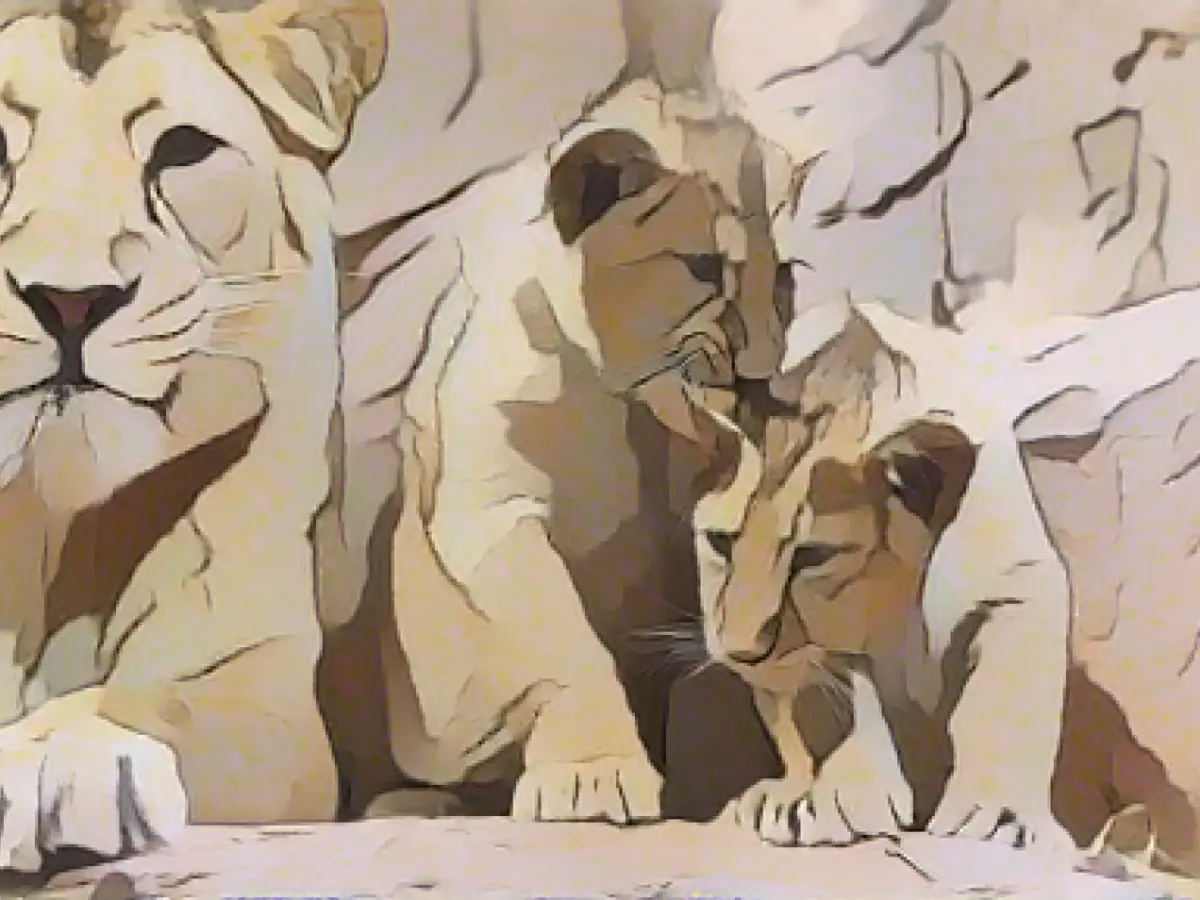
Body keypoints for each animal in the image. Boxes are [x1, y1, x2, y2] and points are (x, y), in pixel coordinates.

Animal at [318, 78, 792, 824]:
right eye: (704, 267)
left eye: (787, 280)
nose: (764, 375)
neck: (624, 404)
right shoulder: (488, 514)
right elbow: (565, 638)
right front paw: (592, 774)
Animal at [687, 300, 1076, 851]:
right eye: (721, 542)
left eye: (812, 555)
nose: (742, 652)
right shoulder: (828, 659)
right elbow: (820, 713)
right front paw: (816, 798)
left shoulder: (1018, 583)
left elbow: (1009, 694)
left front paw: (999, 817)